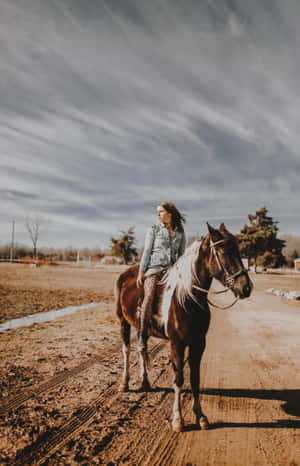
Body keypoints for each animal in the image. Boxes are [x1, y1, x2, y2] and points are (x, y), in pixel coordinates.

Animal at [115, 224, 253, 432]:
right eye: (223, 252)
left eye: (238, 249)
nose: (246, 287)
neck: (188, 297)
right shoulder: (177, 344)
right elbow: (179, 378)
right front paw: (177, 419)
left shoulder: (199, 343)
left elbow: (195, 379)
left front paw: (201, 416)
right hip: (123, 322)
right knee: (126, 350)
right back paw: (124, 383)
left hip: (142, 328)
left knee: (141, 349)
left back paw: (146, 382)